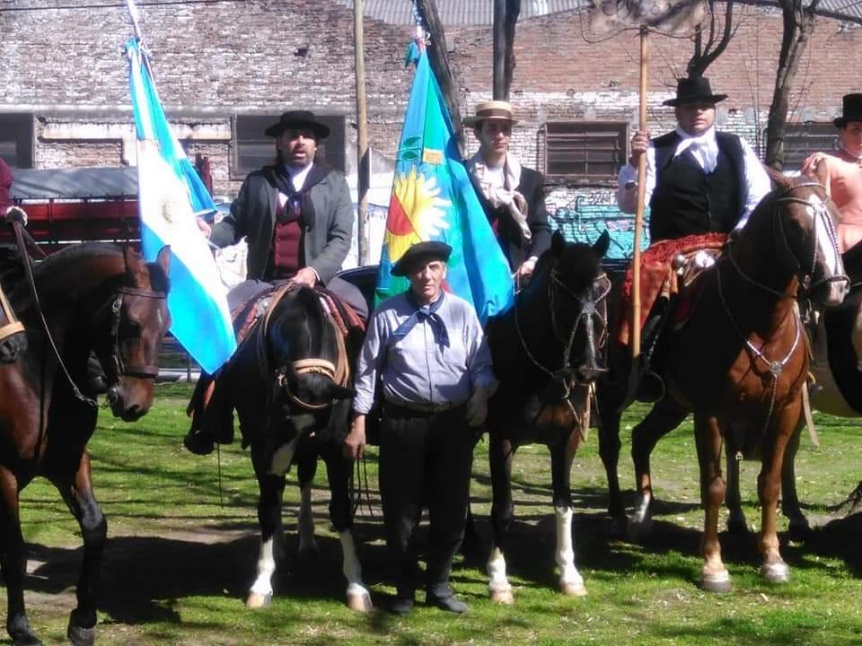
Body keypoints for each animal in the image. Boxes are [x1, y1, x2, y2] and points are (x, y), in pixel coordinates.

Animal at [0, 243, 170, 646]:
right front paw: (21, 627)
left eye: (167, 324)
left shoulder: (70, 463)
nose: (136, 404)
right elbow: (15, 551)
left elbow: (95, 527)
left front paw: (83, 620)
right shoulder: (5, 473)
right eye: (131, 324)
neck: (35, 372)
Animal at [209, 288, 374, 612]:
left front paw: (356, 585)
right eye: (280, 411)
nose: (281, 460)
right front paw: (261, 584)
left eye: (318, 423)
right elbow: (268, 509)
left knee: (304, 480)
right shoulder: (263, 448)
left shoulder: (337, 448)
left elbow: (341, 510)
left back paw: (307, 541)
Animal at [486, 230, 616, 604]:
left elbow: (564, 504)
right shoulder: (502, 440)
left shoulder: (566, 441)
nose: (589, 368)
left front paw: (569, 574)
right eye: (562, 292)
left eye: (604, 289)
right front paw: (498, 580)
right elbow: (503, 508)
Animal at [596, 175, 848, 596]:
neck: (760, 324)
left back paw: (642, 514)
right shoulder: (711, 413)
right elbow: (713, 485)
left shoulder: (786, 409)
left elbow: (770, 483)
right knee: (611, 445)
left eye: (837, 215)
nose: (836, 289)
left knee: (641, 439)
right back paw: (617, 515)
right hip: (614, 389)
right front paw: (713, 566)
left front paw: (772, 559)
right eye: (796, 224)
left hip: (673, 404)